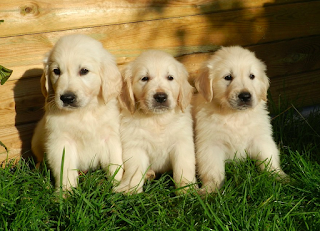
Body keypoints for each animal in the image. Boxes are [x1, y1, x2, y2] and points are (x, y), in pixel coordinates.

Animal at [31, 33, 123, 190]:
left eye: (84, 71)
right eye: (56, 71)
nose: (67, 98)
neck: (83, 112)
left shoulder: (110, 136)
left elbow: (115, 163)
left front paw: (121, 186)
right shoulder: (61, 142)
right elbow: (65, 169)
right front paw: (65, 192)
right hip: (37, 140)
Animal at [114, 50, 196, 193]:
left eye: (170, 77)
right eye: (144, 78)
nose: (161, 97)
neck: (157, 119)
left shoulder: (182, 142)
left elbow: (184, 166)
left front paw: (187, 188)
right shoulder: (135, 145)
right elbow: (134, 169)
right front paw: (130, 189)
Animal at [192, 46, 288, 194]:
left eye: (252, 76)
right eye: (228, 77)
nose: (245, 96)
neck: (235, 115)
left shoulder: (261, 138)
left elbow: (269, 159)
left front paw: (280, 177)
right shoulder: (210, 145)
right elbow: (213, 170)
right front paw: (210, 190)